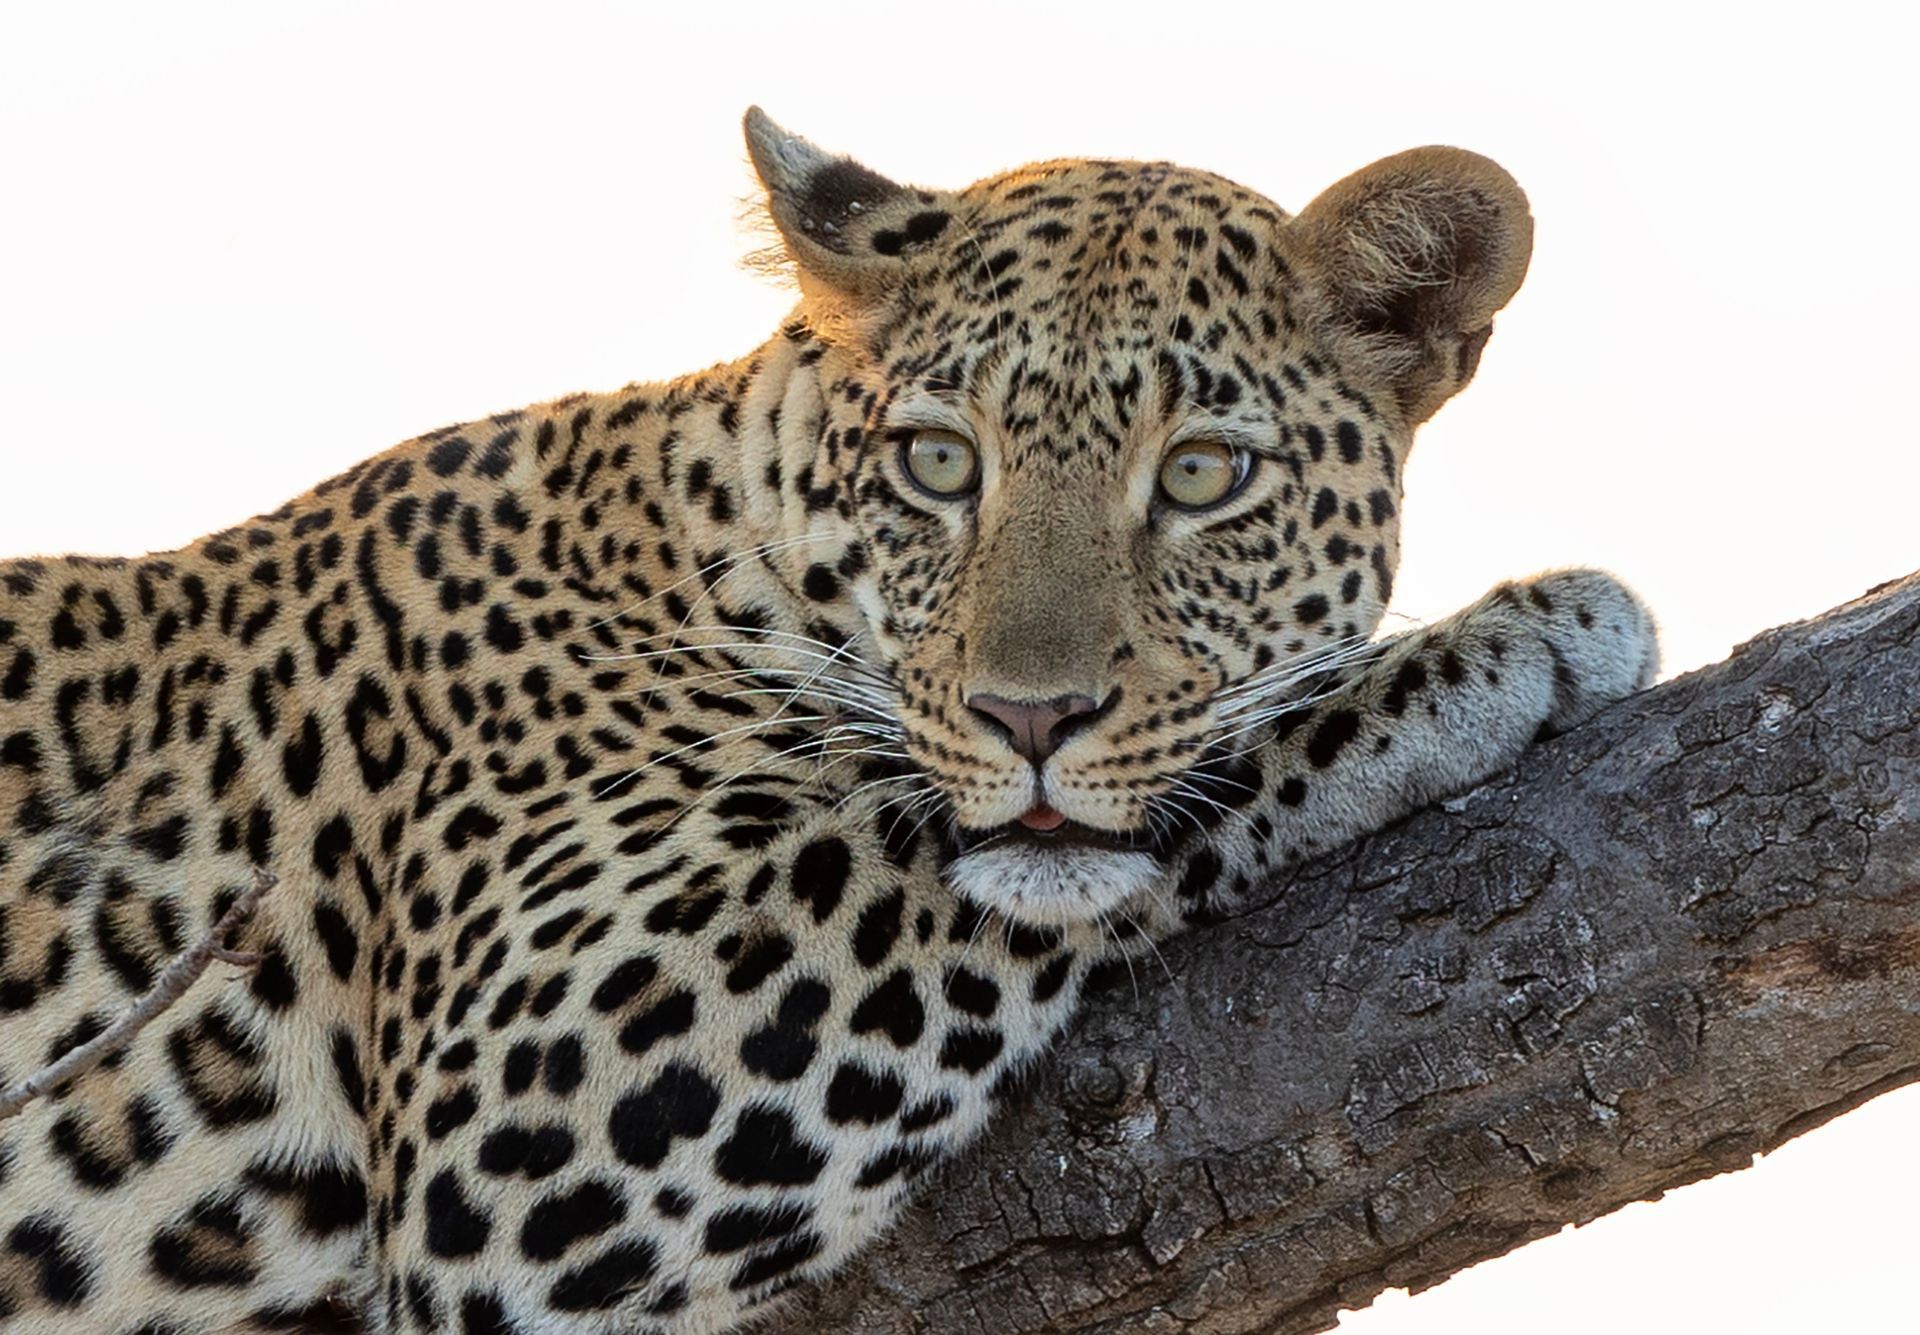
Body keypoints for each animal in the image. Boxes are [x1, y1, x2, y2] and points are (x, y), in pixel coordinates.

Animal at [0, 108, 1658, 1333]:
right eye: (938, 462)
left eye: (1201, 475)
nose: (1030, 715)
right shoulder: (538, 1080)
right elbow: (966, 829)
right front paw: (1513, 639)